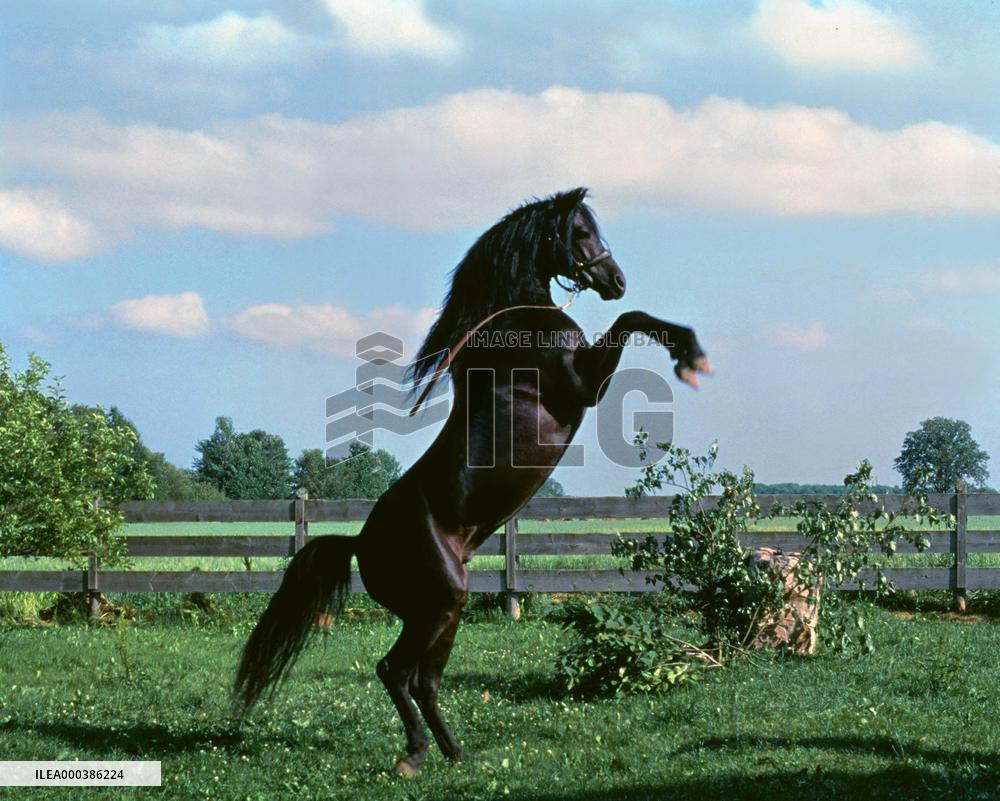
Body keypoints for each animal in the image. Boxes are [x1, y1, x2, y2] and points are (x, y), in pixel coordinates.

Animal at [232, 187, 713, 775]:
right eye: (579, 231)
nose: (616, 278)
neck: (520, 326)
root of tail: (359, 542)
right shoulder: (582, 385)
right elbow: (630, 318)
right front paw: (689, 354)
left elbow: (631, 317)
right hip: (439, 605)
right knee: (395, 671)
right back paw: (414, 755)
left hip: (444, 610)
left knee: (424, 681)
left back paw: (456, 752)